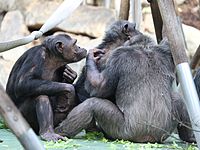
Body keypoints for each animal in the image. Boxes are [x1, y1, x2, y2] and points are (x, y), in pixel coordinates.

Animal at [55, 31, 195, 143]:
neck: (145, 48)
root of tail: (147, 137)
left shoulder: (118, 56)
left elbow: (99, 87)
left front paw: (91, 56)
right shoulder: (165, 54)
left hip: (122, 131)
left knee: (92, 105)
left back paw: (60, 131)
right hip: (163, 131)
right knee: (178, 99)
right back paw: (190, 137)